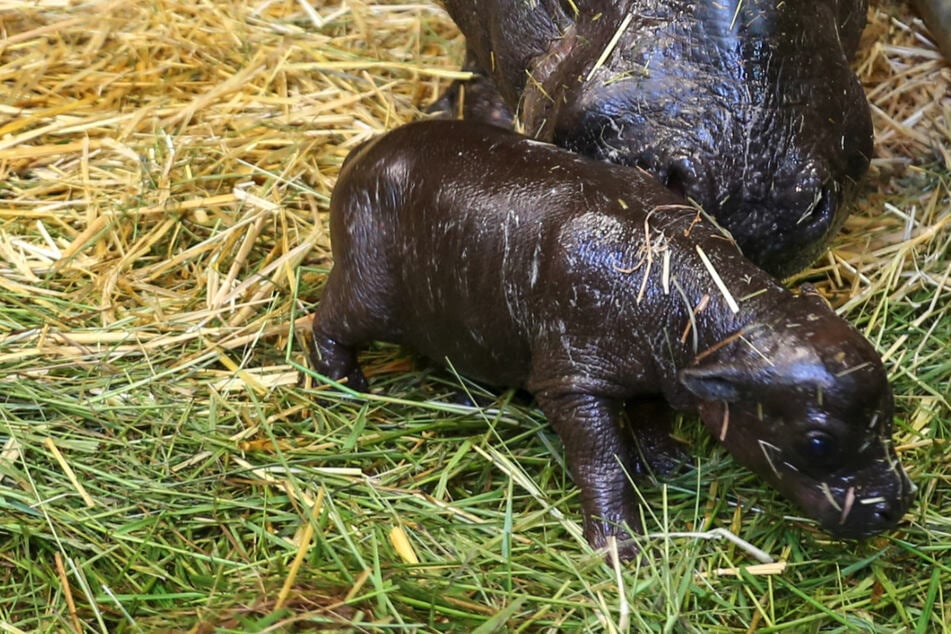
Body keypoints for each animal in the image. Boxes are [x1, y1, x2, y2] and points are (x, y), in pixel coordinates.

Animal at [312, 118, 916, 552]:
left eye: (890, 410)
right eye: (816, 442)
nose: (897, 504)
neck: (707, 302)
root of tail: (361, 152)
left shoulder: (659, 369)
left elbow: (651, 416)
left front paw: (672, 465)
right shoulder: (572, 383)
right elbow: (601, 460)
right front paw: (621, 549)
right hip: (368, 288)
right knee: (328, 321)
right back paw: (346, 383)